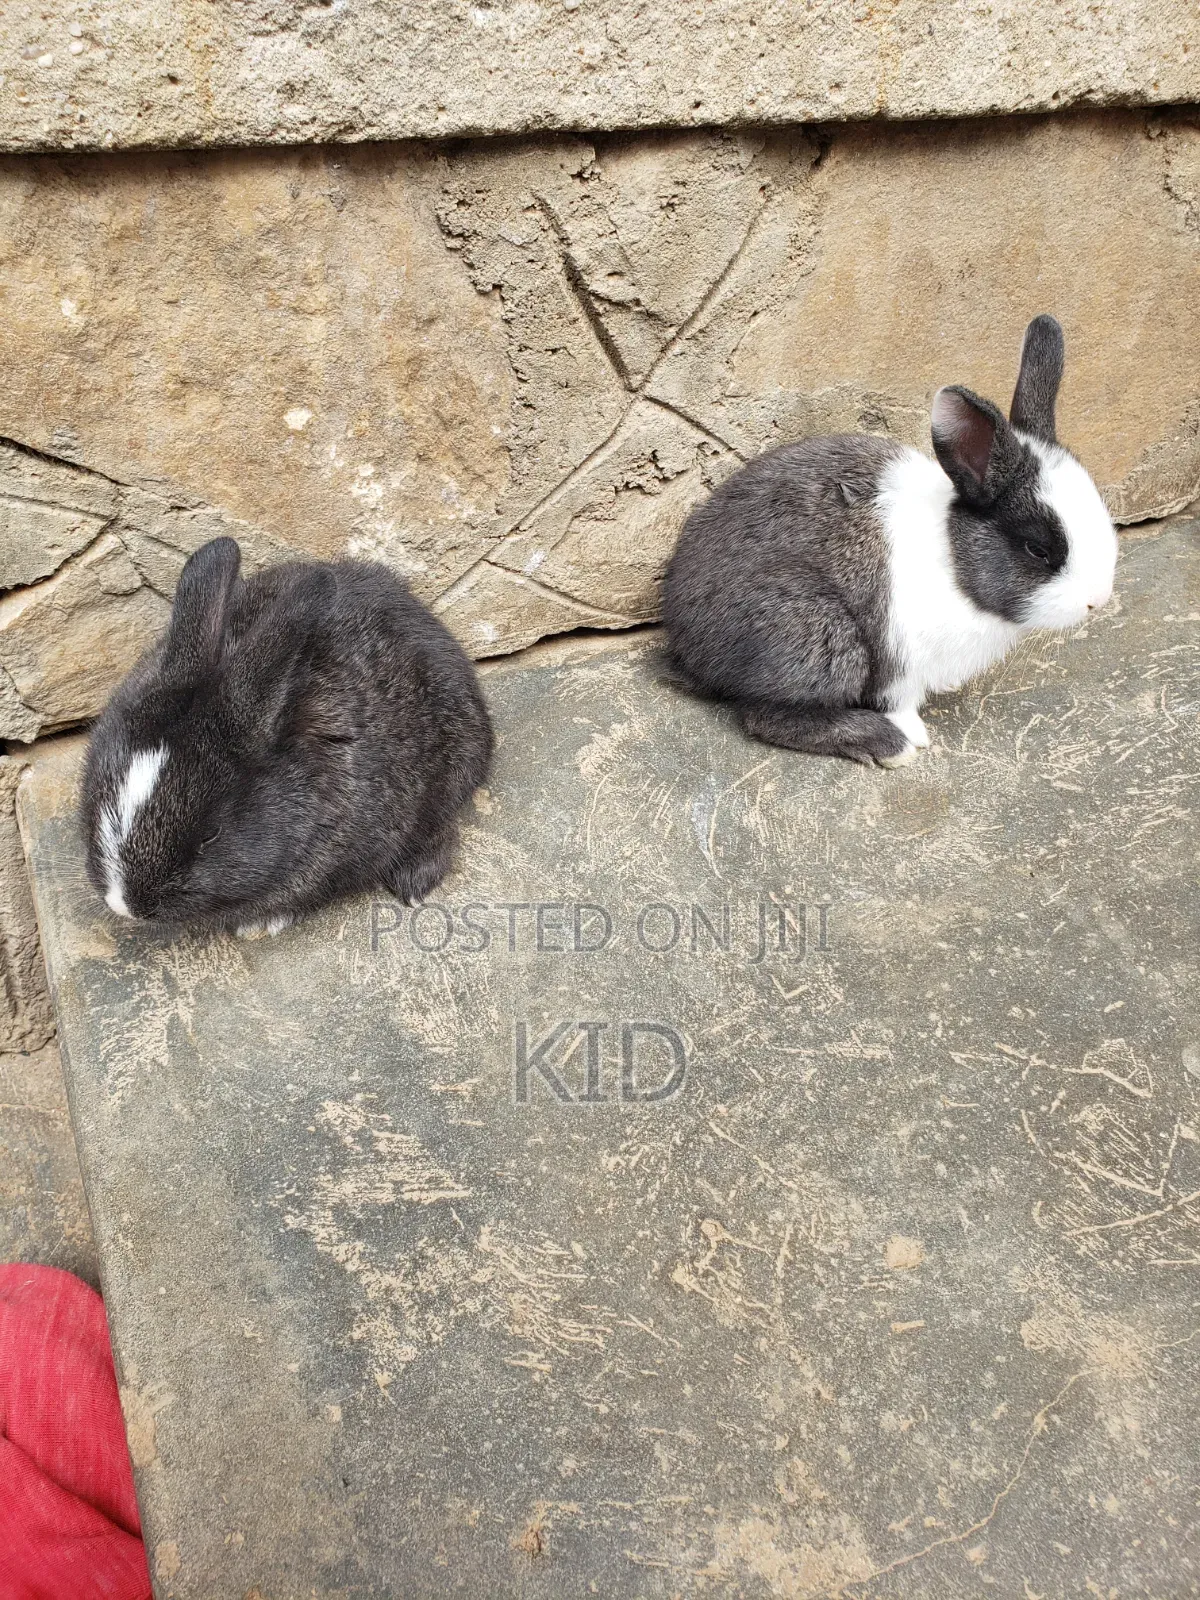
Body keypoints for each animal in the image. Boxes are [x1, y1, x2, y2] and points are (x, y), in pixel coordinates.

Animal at [662, 315, 1117, 766]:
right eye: (1037, 550)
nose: (1097, 601)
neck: (953, 561)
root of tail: (686, 643)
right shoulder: (901, 659)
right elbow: (899, 701)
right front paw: (913, 736)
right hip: (821, 637)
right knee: (767, 715)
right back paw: (885, 744)